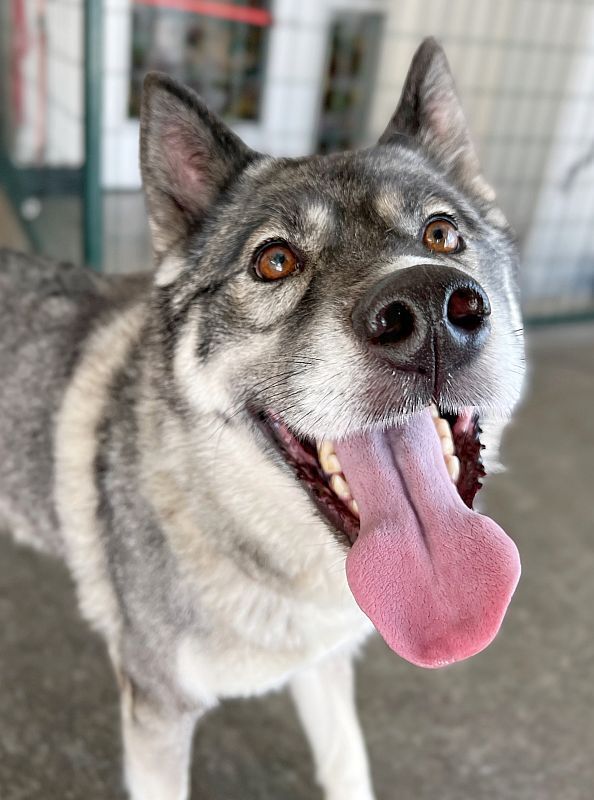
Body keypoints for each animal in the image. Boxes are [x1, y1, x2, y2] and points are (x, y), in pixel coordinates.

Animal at [1, 40, 524, 800]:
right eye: (274, 260)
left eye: (442, 233)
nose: (430, 310)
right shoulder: (157, 715)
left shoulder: (323, 666)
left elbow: (347, 761)